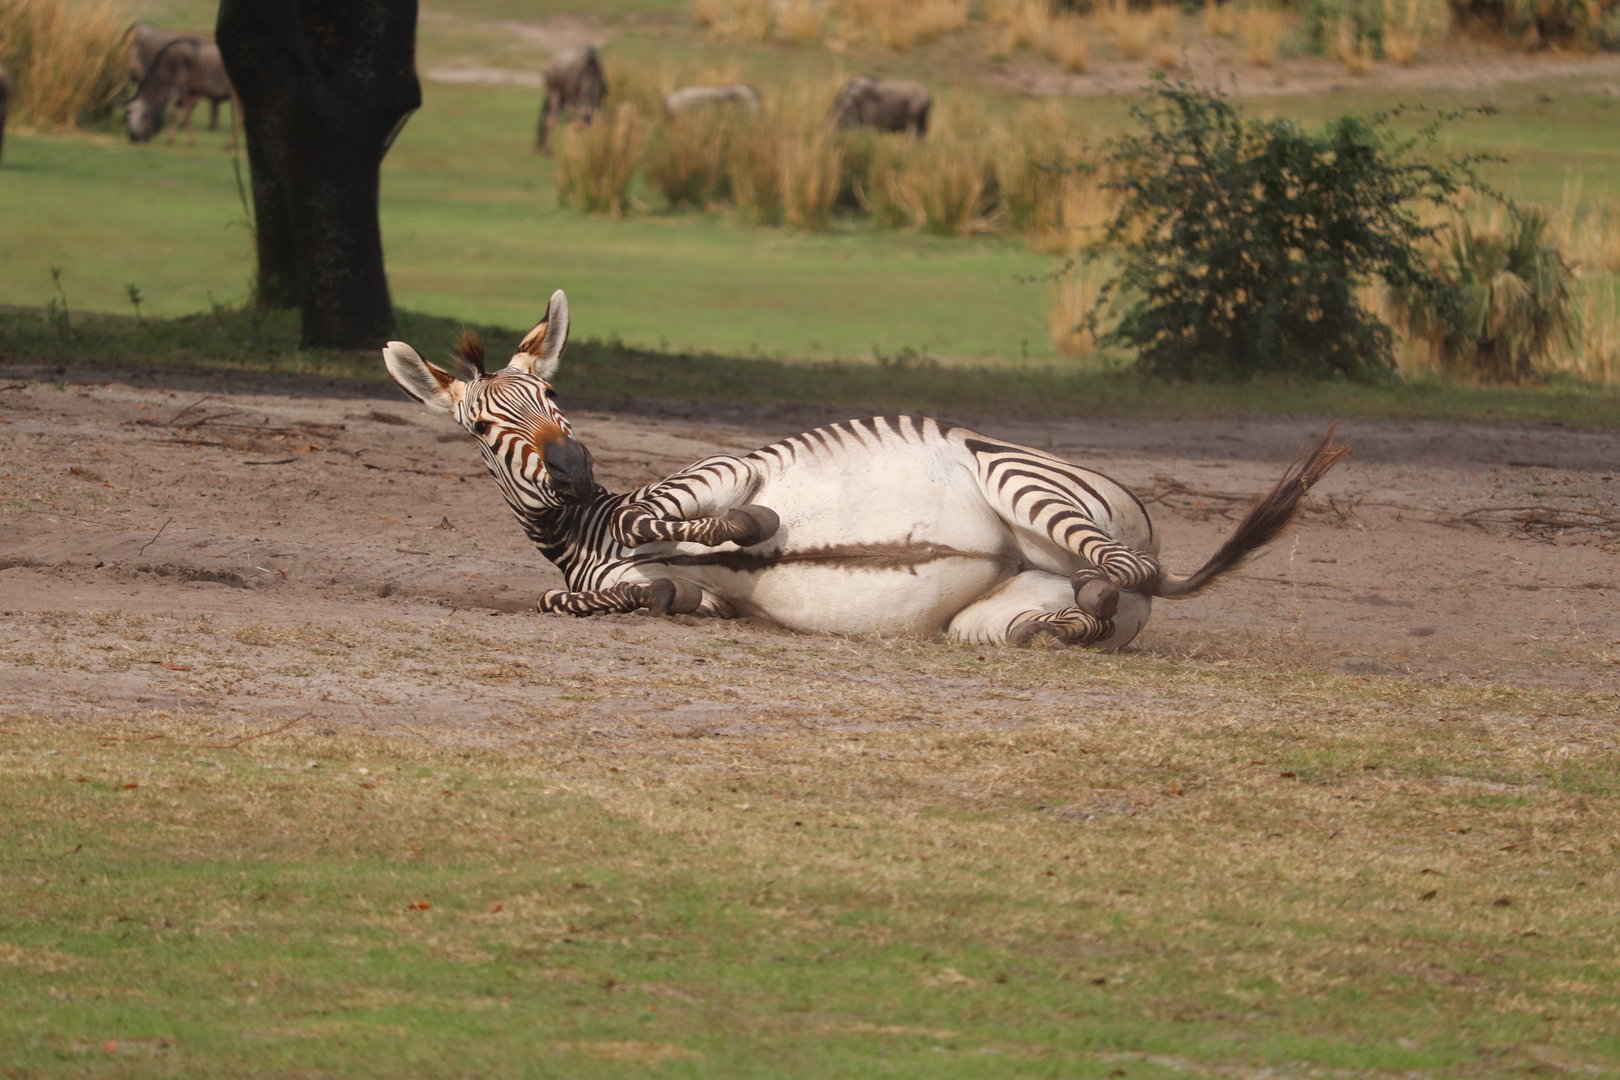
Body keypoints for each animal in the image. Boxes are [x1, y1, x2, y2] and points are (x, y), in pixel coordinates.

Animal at [382, 291, 1348, 648]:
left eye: (552, 393)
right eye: (482, 427)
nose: (575, 467)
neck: (590, 522)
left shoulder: (719, 474)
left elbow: (684, 519)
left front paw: (753, 530)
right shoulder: (670, 594)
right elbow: (598, 595)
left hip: (1014, 478)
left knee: (1126, 569)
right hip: (990, 617)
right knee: (1085, 607)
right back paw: (1062, 626)